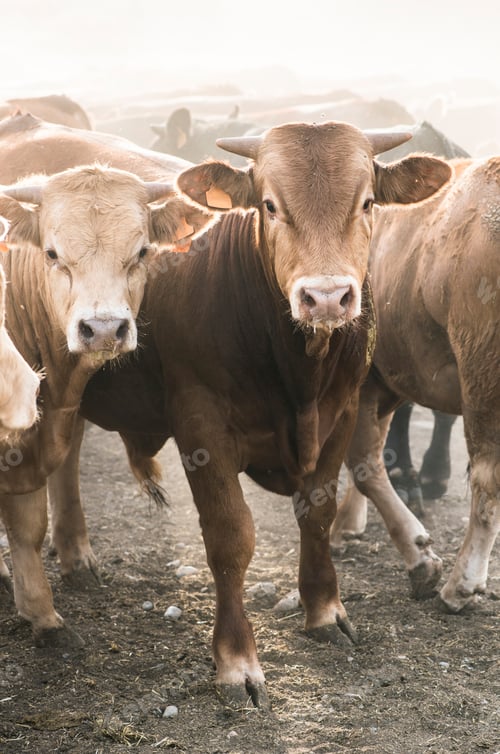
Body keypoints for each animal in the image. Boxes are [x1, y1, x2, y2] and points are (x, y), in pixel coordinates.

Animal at [46, 122, 451, 707]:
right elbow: (230, 537)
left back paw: (76, 557)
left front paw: (324, 610)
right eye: (269, 205)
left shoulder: (344, 410)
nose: (326, 297)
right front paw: (237, 661)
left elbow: (319, 512)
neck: (299, 377)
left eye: (368, 202)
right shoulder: (200, 426)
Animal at [331, 156, 500, 615]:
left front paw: (419, 557)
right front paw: (347, 522)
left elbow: (365, 463)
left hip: (482, 375)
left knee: (487, 478)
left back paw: (462, 583)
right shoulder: (384, 380)